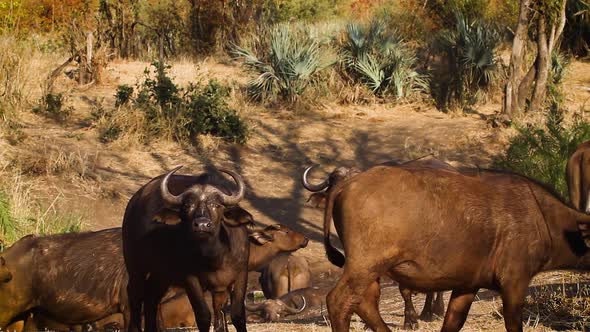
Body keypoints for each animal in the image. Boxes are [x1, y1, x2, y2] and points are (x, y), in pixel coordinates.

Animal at [123, 166, 253, 332]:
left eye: (216, 205)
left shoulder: (239, 275)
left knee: (151, 298)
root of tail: (134, 202)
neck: (214, 258)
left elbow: (235, 315)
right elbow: (203, 315)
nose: (202, 224)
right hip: (135, 268)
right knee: (135, 295)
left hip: (161, 275)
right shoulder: (191, 280)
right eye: (187, 206)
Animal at [322, 161, 590, 332]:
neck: (543, 217)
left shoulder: (467, 286)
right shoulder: (515, 282)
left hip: (370, 271)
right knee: (339, 301)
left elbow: (453, 322)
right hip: (365, 266)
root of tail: (348, 183)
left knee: (365, 302)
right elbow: (513, 324)